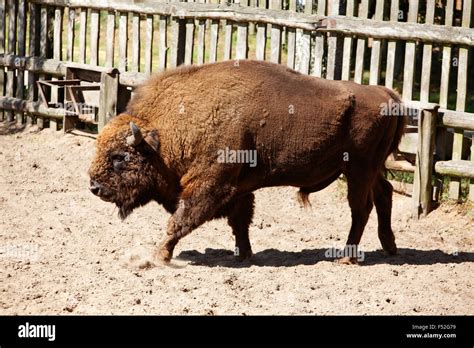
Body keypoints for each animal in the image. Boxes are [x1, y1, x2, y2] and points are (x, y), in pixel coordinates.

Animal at [90, 59, 408, 264]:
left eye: (119, 157)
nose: (94, 187)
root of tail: (387, 94)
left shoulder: (210, 185)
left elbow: (181, 219)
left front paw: (158, 256)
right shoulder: (239, 189)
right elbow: (240, 221)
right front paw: (245, 255)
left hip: (358, 170)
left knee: (361, 208)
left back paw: (347, 257)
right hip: (370, 169)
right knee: (384, 194)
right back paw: (389, 247)